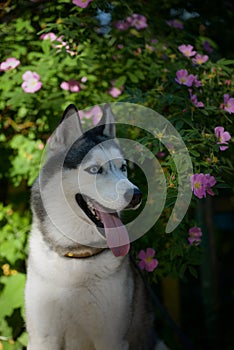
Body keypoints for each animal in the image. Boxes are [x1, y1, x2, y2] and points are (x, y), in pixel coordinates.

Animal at [25, 104, 168, 350]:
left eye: (122, 168)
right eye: (94, 170)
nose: (136, 195)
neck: (76, 256)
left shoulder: (111, 337)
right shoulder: (43, 338)